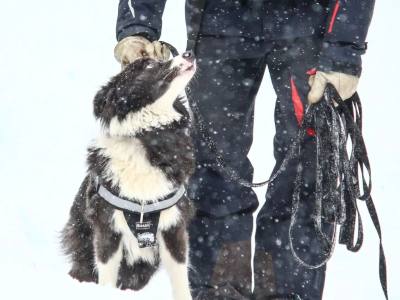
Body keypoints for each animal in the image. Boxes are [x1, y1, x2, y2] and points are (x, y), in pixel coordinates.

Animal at [61, 52, 197, 300]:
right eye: (150, 64)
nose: (189, 53)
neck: (148, 137)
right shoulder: (107, 227)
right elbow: (106, 278)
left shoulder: (174, 227)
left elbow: (181, 281)